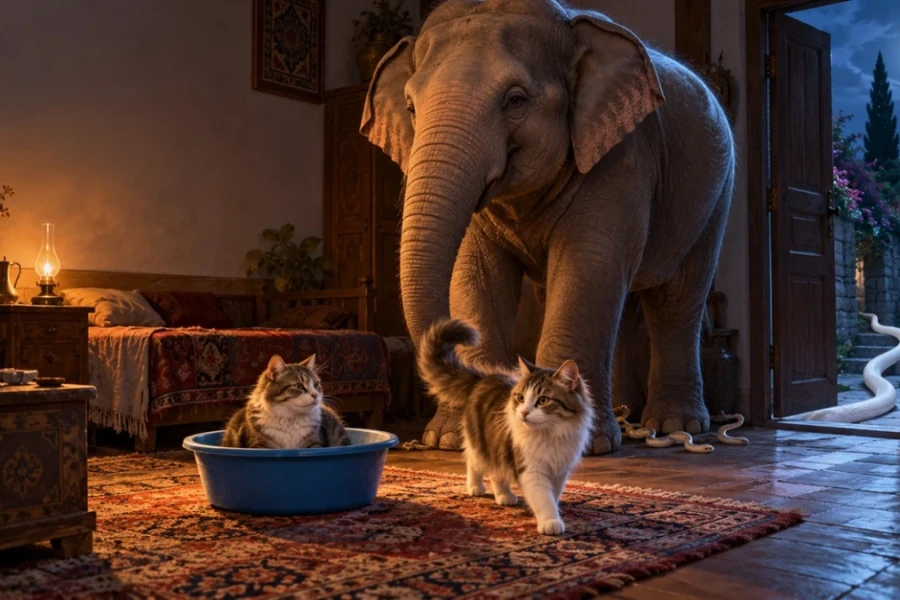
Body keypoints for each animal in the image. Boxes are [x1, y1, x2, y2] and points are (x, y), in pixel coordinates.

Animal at [360, 0, 735, 454]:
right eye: (411, 108)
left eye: (516, 100)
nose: (456, 340)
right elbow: (474, 274)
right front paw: (454, 439)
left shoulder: (621, 156)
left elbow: (588, 264)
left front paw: (581, 444)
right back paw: (626, 419)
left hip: (714, 198)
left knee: (677, 300)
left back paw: (676, 424)